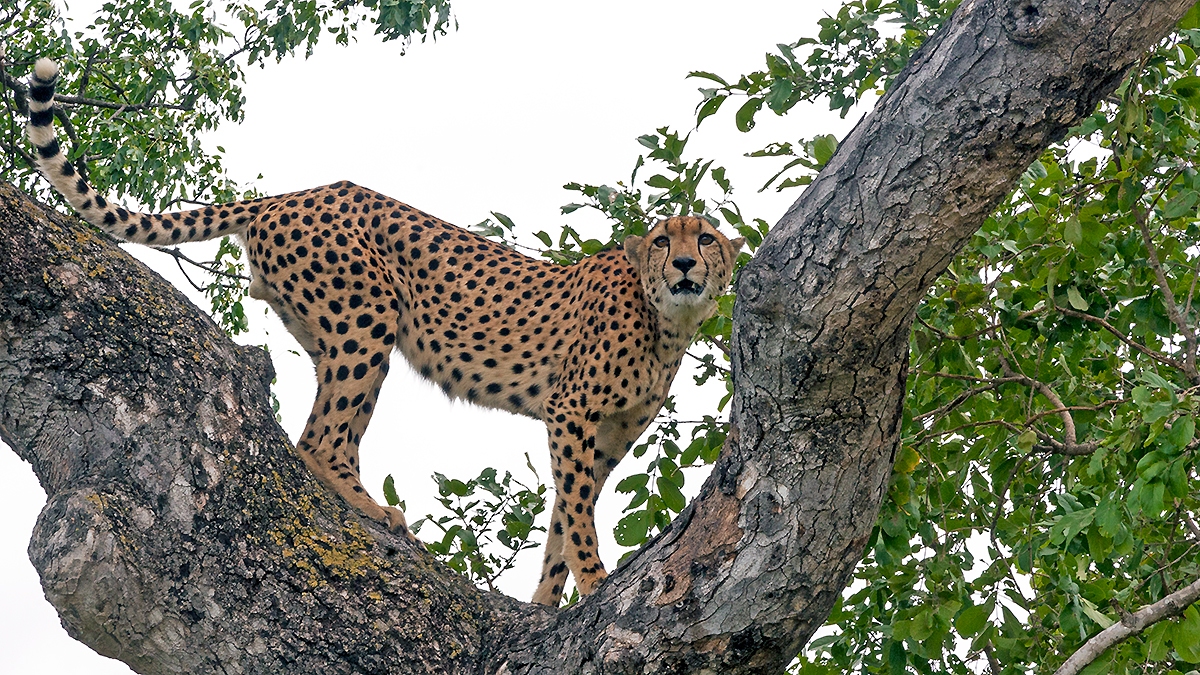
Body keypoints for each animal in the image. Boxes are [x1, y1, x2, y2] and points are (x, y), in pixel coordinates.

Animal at [26, 57, 744, 605]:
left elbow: (561, 525)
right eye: (663, 239)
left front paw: (544, 605)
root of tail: (296, 192)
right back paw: (369, 507)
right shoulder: (571, 412)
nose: (685, 264)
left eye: (706, 238)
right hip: (367, 319)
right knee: (317, 439)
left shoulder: (604, 440)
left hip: (336, 330)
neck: (665, 321)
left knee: (334, 429)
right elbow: (579, 518)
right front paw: (595, 582)